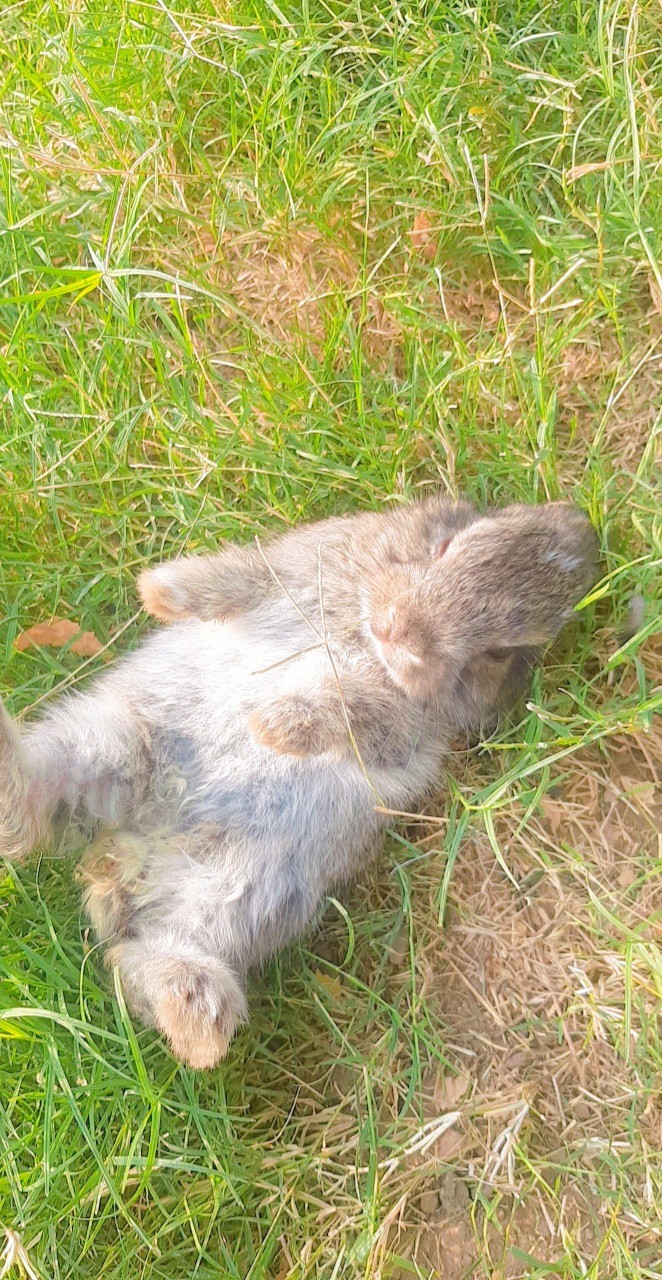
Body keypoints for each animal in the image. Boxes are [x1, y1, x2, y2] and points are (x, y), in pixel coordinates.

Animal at [0, 497, 599, 1068]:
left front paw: (274, 726)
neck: (362, 635)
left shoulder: (402, 725)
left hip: (245, 886)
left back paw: (198, 1025)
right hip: (112, 742)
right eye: (446, 545)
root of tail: (133, 852)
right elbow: (234, 578)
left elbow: (348, 709)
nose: (397, 631)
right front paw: (159, 592)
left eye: (499, 652)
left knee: (141, 953)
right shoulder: (295, 564)